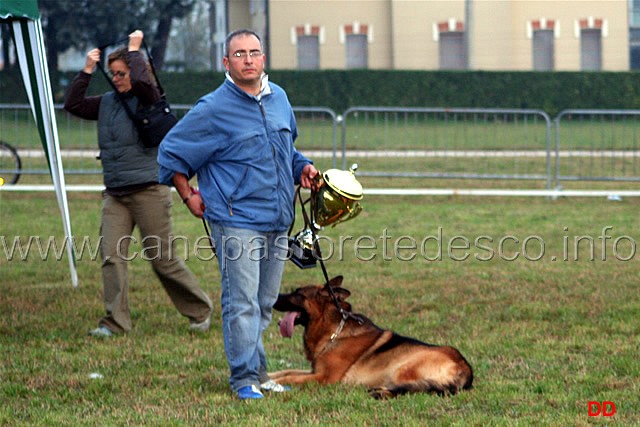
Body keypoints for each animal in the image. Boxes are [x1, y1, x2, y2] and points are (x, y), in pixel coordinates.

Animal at [268, 276, 472, 400]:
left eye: (298, 294)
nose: (273, 298)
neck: (335, 332)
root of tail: (466, 367)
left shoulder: (324, 377)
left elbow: (290, 378)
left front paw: (272, 385)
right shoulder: (314, 371)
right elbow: (285, 372)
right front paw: (267, 377)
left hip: (402, 368)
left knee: (412, 389)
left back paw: (381, 393)